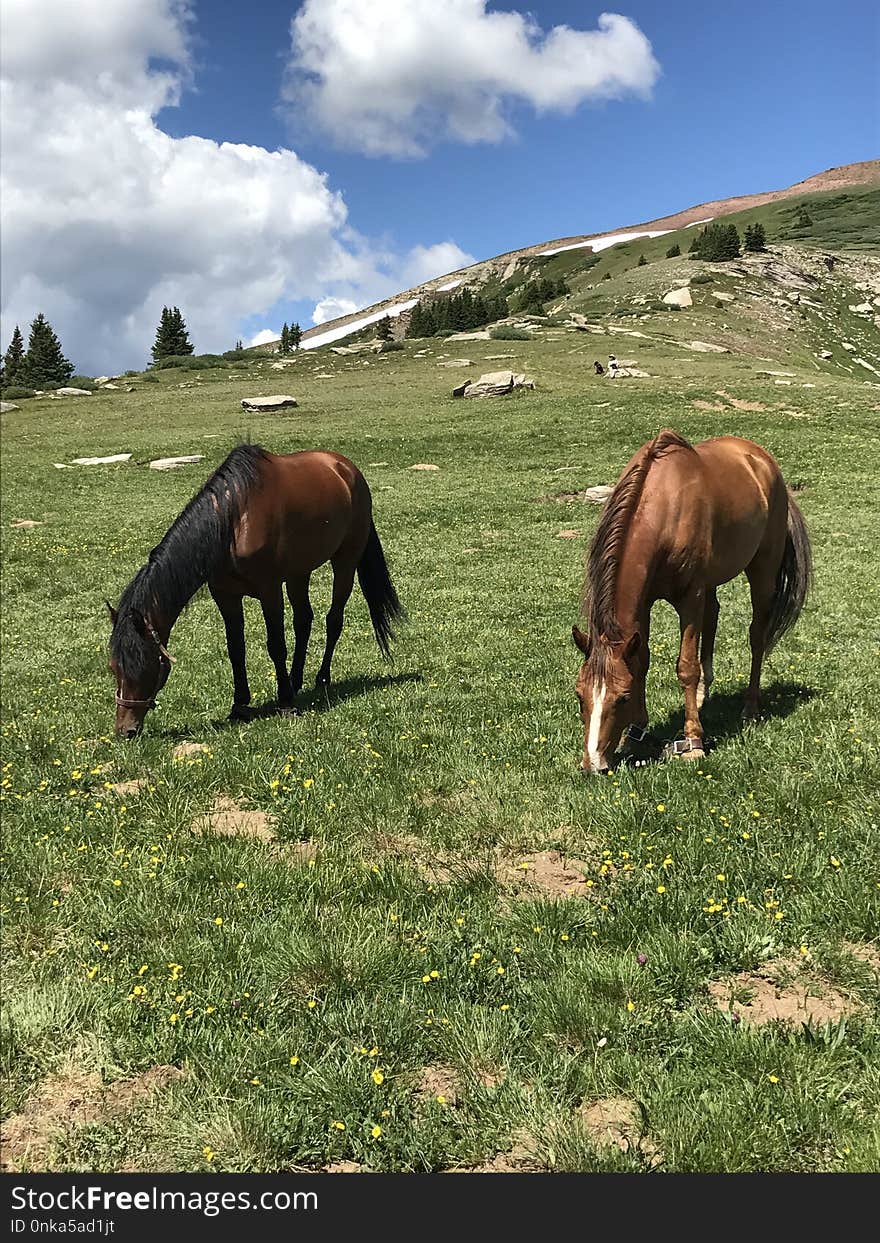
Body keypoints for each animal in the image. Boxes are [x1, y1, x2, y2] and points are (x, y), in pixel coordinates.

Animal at [107, 447, 405, 735]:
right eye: (113, 667)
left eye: (145, 664)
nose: (126, 730)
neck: (231, 524)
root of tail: (346, 468)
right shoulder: (225, 595)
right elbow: (236, 649)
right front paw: (239, 705)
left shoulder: (269, 590)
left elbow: (276, 645)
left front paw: (285, 704)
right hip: (298, 573)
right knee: (303, 621)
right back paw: (296, 680)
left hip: (345, 561)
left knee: (333, 620)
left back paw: (321, 678)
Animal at [571, 432, 810, 770]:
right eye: (580, 696)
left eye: (622, 698)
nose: (594, 764)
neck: (664, 506)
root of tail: (762, 459)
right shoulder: (645, 602)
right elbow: (642, 660)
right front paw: (637, 735)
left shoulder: (689, 598)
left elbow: (686, 666)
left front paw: (694, 742)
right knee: (713, 617)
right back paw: (702, 695)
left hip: (762, 572)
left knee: (757, 637)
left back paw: (750, 708)